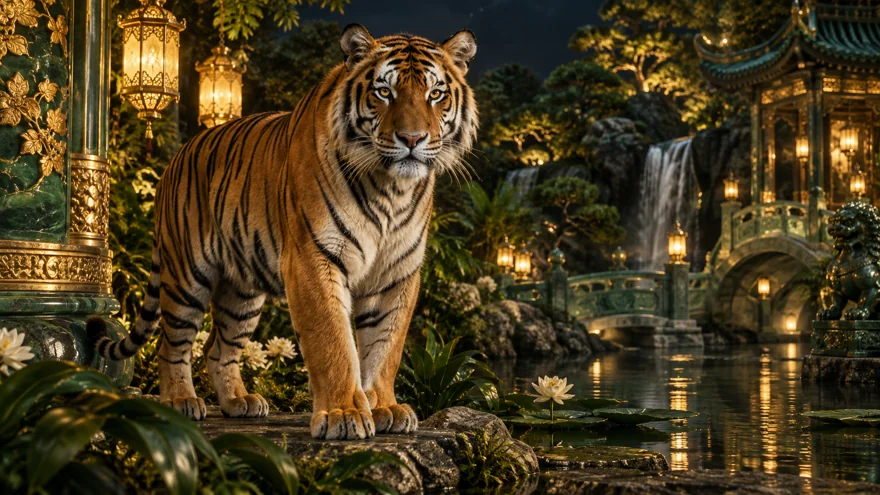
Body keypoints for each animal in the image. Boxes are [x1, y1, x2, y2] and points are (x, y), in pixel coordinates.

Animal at [90, 24, 478, 440]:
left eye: (435, 94)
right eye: (384, 92)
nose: (412, 139)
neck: (392, 189)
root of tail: (176, 157)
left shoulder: (397, 273)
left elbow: (385, 346)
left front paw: (384, 406)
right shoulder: (313, 258)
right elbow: (333, 341)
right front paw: (343, 413)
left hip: (241, 291)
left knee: (218, 349)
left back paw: (239, 402)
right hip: (186, 276)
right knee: (172, 343)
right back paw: (180, 401)